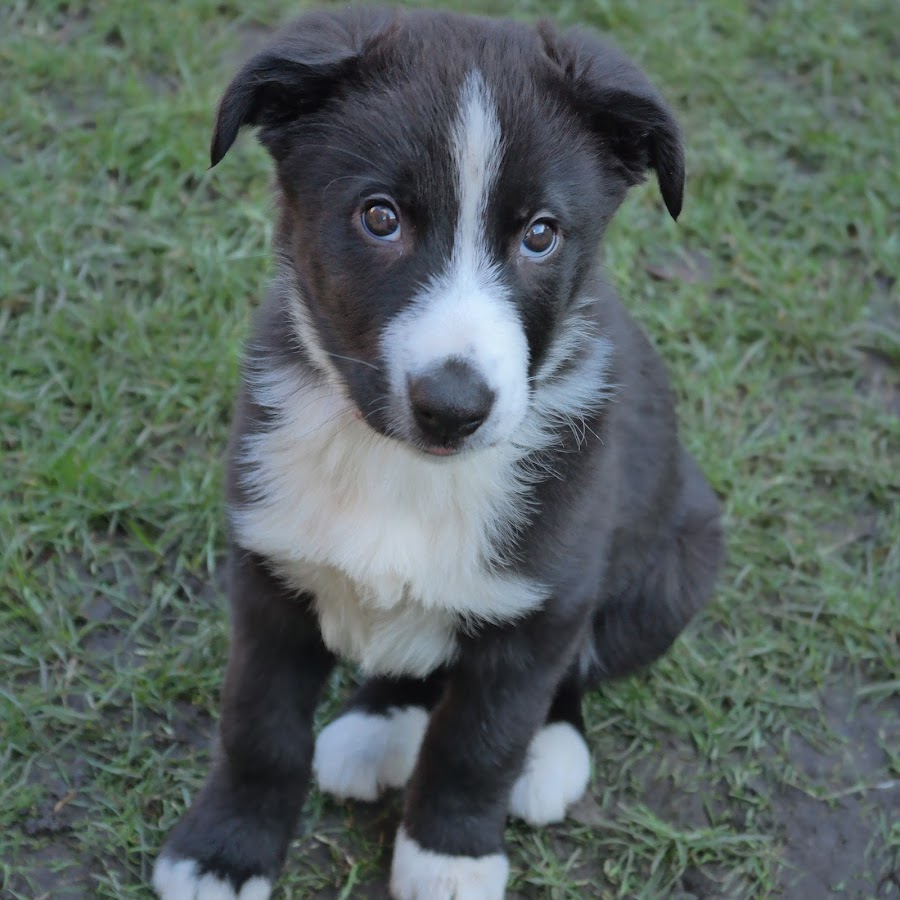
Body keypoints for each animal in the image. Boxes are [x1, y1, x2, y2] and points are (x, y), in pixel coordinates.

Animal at [153, 8, 724, 900]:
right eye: (380, 217)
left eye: (540, 235)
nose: (454, 407)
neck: (401, 470)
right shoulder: (269, 574)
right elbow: (258, 725)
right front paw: (224, 850)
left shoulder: (544, 599)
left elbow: (479, 741)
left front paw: (450, 856)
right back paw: (377, 724)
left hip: (677, 567)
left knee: (567, 677)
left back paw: (547, 755)